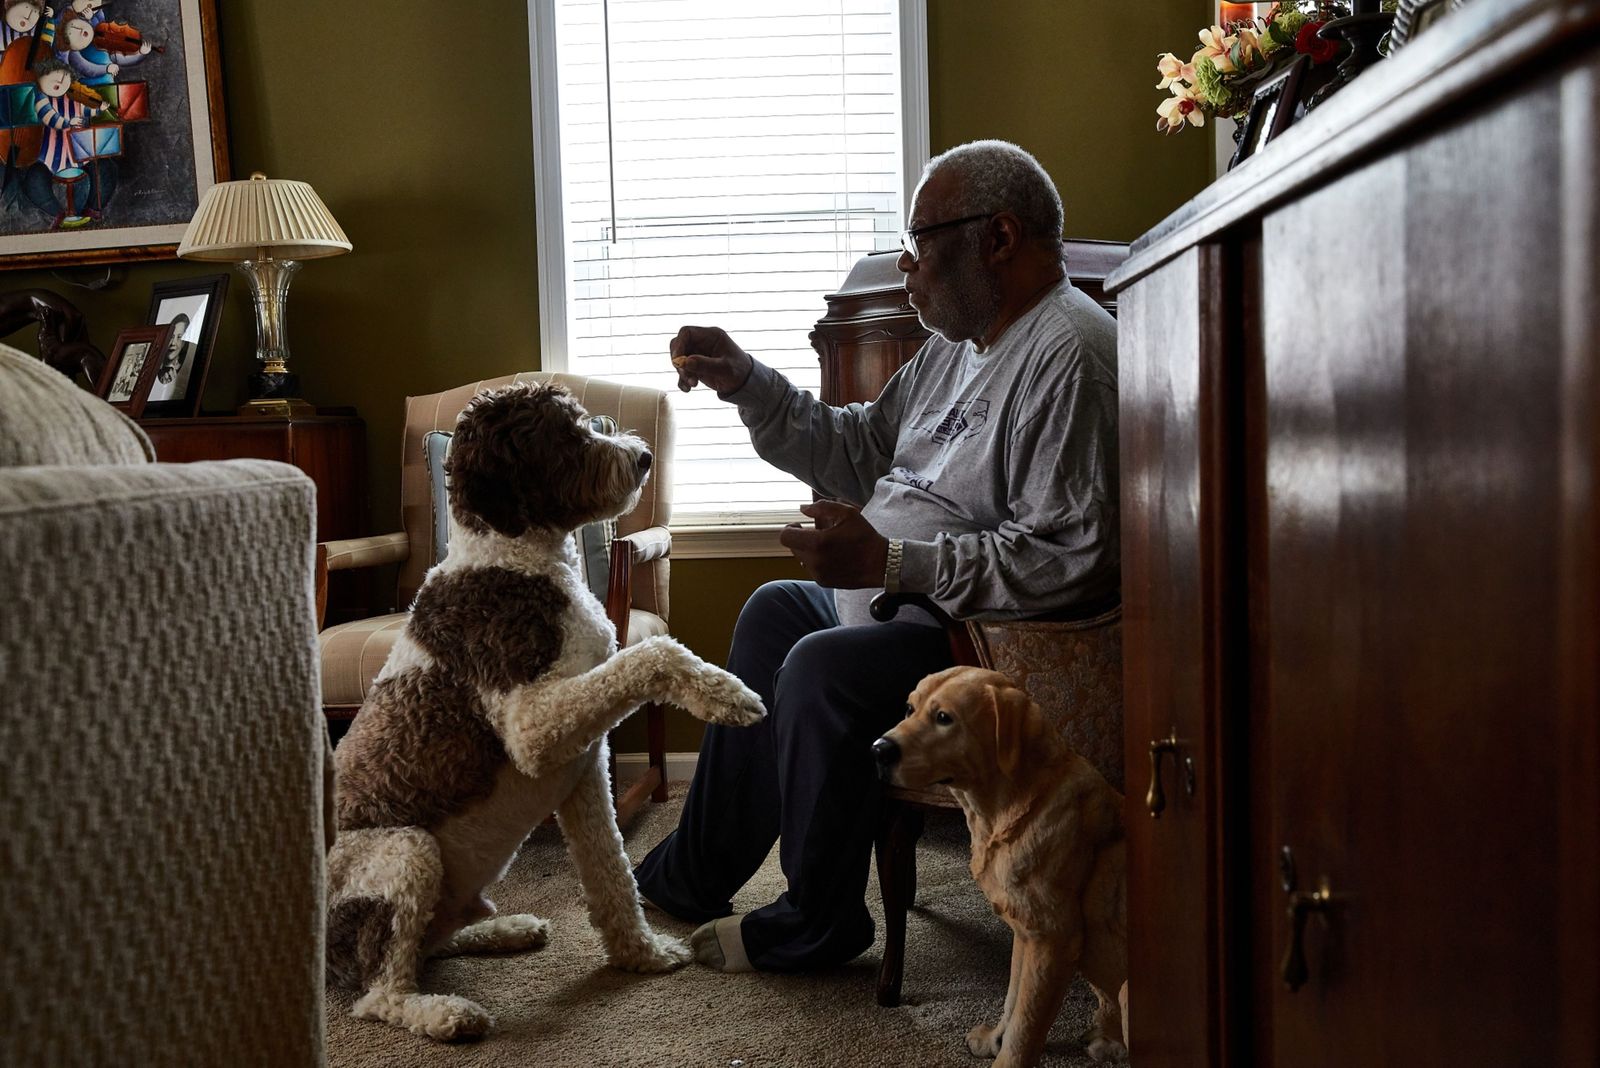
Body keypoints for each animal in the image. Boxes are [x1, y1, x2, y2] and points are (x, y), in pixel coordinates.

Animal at [324, 383, 761, 1042]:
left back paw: (503, 929)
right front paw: (727, 694)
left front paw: (641, 954)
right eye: (565, 434)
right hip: (405, 851)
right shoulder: (533, 729)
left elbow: (612, 872)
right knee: (380, 990)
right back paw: (445, 1013)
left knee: (429, 946)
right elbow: (655, 651)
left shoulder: (584, 769)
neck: (513, 556)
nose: (642, 458)